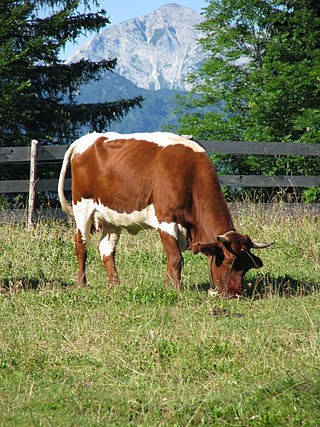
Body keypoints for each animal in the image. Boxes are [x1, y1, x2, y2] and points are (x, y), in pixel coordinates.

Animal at [58, 131, 272, 298]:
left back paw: (115, 285)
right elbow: (176, 258)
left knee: (106, 250)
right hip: (82, 207)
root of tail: (87, 138)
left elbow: (172, 258)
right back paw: (81, 284)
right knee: (81, 246)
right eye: (229, 263)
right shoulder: (166, 220)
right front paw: (175, 290)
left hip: (112, 217)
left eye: (246, 266)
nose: (236, 294)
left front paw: (168, 287)